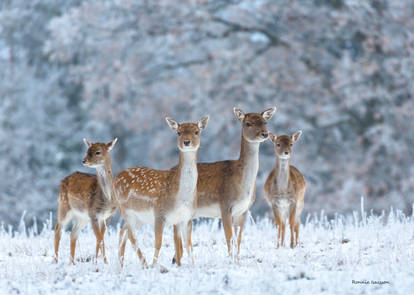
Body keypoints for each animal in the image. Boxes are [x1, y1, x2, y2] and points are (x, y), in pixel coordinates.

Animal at [116, 116, 209, 268]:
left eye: (196, 131)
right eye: (178, 132)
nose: (186, 142)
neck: (181, 198)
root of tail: (116, 177)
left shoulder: (187, 218)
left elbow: (188, 245)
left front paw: (192, 266)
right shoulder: (159, 213)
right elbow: (158, 243)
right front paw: (154, 266)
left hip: (139, 217)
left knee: (123, 231)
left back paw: (121, 264)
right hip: (126, 211)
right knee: (131, 235)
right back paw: (145, 264)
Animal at [173, 107, 276, 264]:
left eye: (265, 122)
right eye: (248, 123)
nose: (264, 133)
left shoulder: (243, 210)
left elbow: (238, 239)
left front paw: (238, 261)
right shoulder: (225, 206)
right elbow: (229, 239)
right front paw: (231, 261)